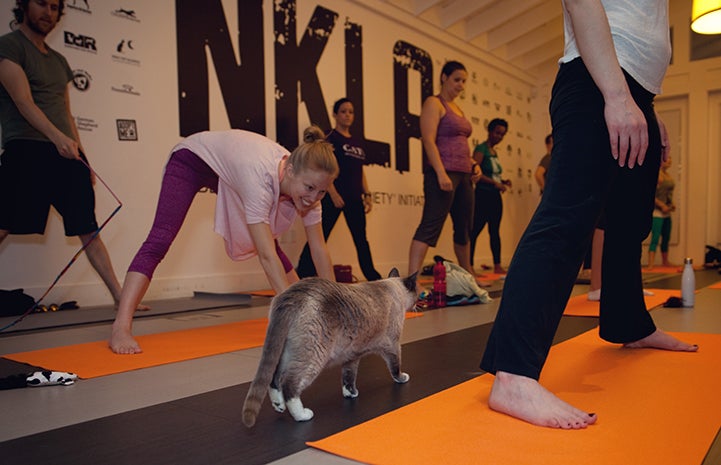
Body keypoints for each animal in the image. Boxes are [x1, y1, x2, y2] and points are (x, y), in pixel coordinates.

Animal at [242, 266, 416, 426]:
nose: (417, 306)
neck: (391, 287)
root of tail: (291, 295)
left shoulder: (353, 355)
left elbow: (348, 376)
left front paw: (351, 394)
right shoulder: (392, 345)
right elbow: (395, 367)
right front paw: (402, 379)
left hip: (287, 354)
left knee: (274, 377)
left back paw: (279, 406)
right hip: (314, 357)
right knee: (289, 384)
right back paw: (302, 415)